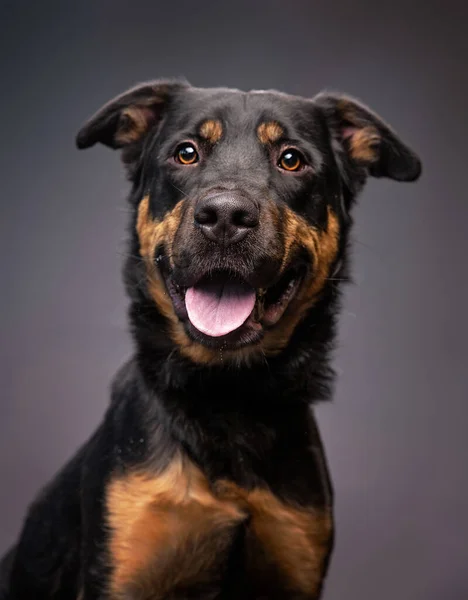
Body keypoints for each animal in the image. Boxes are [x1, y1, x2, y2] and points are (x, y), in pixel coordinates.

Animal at [0, 81, 420, 600]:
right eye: (186, 152)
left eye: (291, 159)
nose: (225, 216)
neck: (225, 393)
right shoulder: (121, 567)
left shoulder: (296, 557)